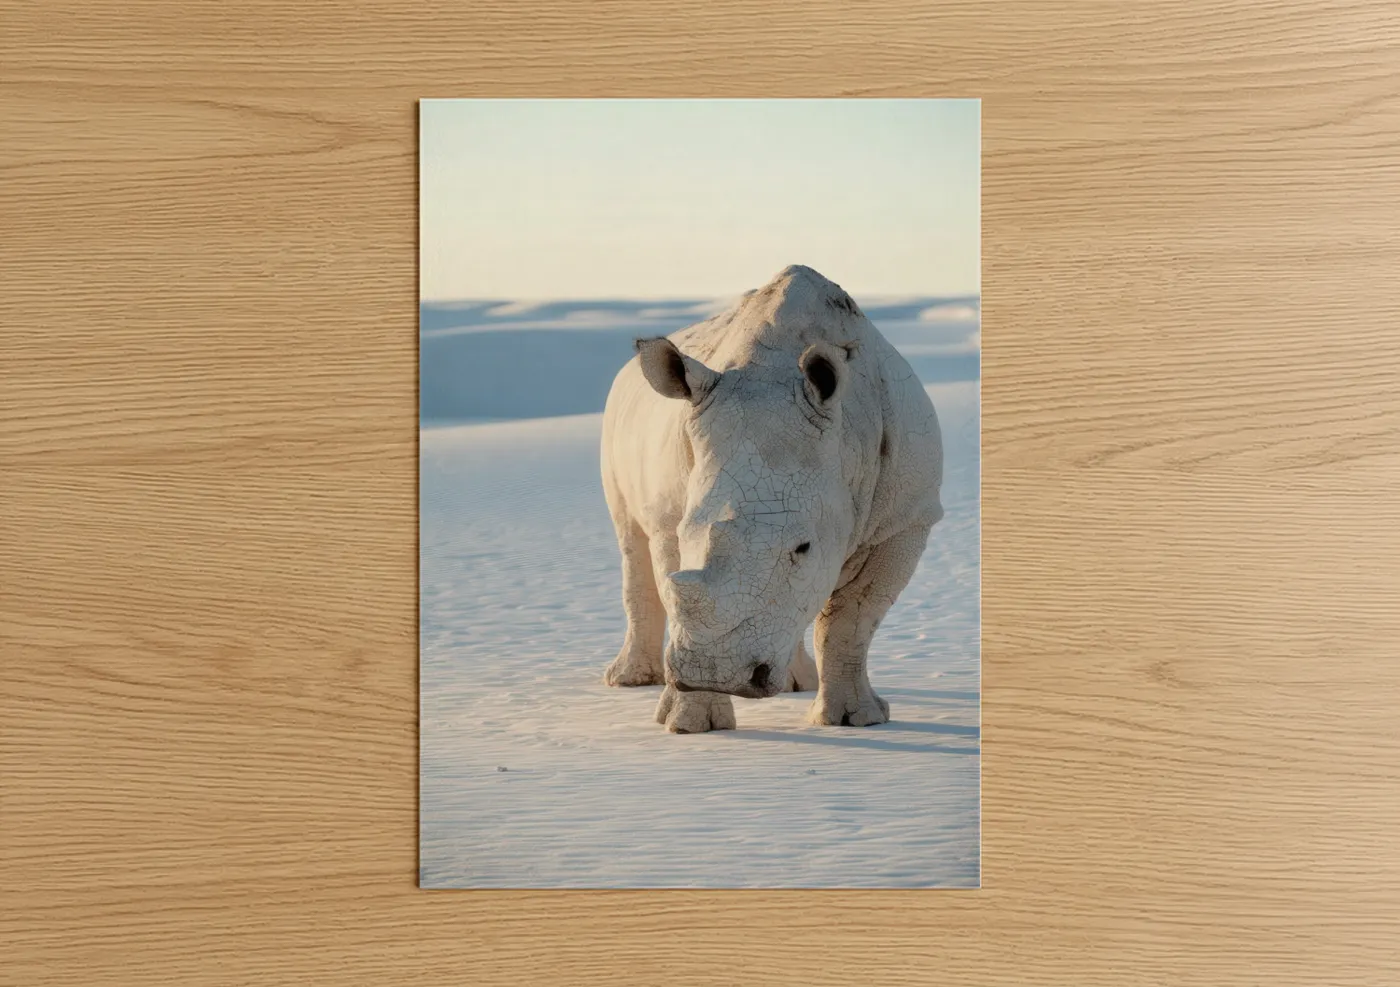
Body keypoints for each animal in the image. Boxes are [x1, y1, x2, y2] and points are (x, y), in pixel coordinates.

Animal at [600, 265, 943, 733]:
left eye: (804, 546)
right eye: (687, 531)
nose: (716, 673)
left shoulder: (906, 519)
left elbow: (851, 619)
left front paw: (857, 720)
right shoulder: (670, 518)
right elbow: (676, 587)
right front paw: (691, 725)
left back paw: (797, 684)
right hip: (613, 421)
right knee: (630, 539)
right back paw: (629, 682)